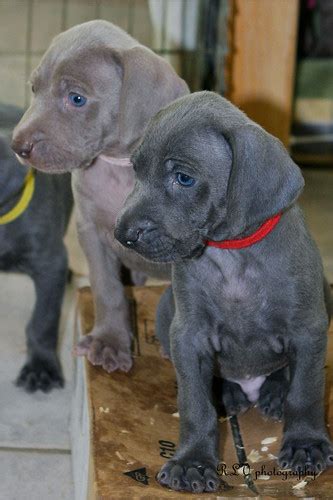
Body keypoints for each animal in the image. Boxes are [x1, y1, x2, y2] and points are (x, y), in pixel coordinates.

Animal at [11, 20, 187, 372]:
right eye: (34, 88)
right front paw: (109, 342)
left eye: (77, 98)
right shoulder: (90, 230)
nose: (17, 146)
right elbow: (107, 290)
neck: (122, 170)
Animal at [115, 92, 332, 494]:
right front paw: (192, 462)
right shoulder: (189, 335)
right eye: (135, 170)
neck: (232, 254)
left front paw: (306, 444)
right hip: (167, 308)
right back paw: (228, 395)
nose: (122, 235)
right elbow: (194, 404)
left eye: (183, 178)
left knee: (284, 375)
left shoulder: (308, 330)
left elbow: (305, 391)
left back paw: (273, 392)